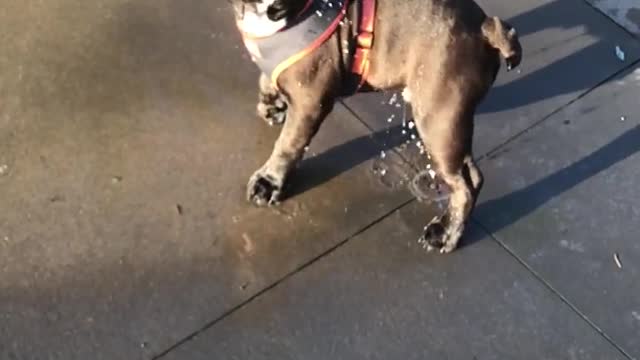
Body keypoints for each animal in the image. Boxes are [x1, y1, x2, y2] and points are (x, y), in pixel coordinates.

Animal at [230, 0, 520, 253]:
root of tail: (484, 27)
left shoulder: (309, 100)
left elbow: (289, 143)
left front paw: (269, 182)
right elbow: (266, 79)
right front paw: (272, 105)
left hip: (439, 119)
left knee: (465, 184)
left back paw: (446, 234)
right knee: (469, 173)